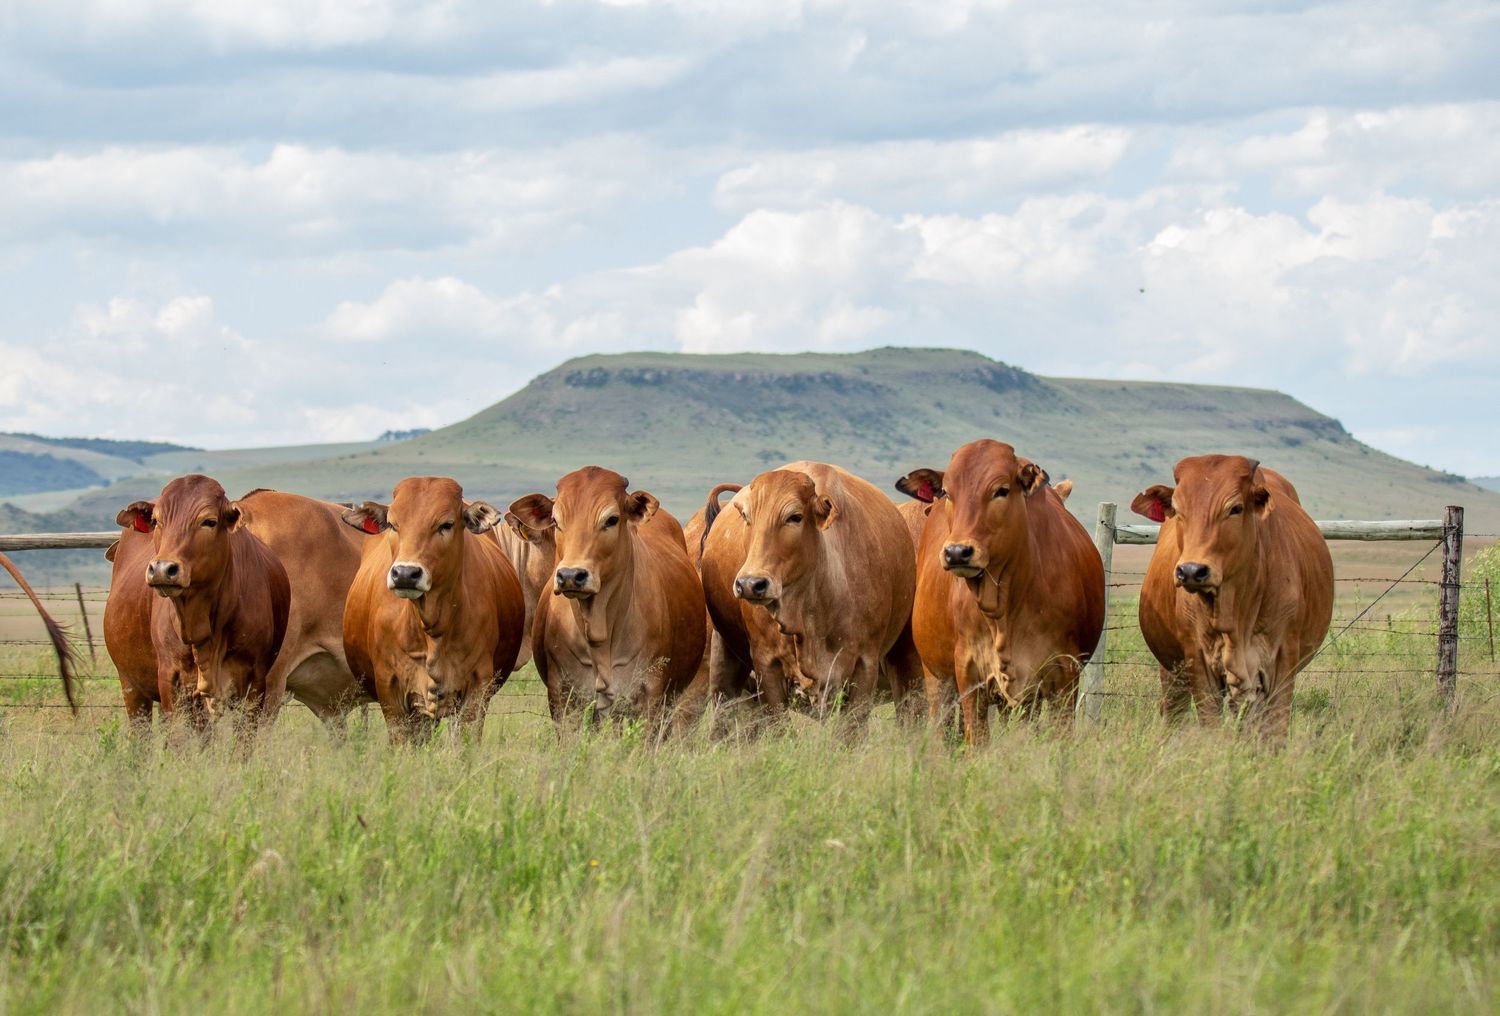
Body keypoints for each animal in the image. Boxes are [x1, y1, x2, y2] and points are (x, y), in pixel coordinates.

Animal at [107, 474, 291, 732]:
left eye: (209, 522)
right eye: (156, 520)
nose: (162, 569)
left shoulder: (254, 683)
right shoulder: (171, 681)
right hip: (131, 687)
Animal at [341, 476, 525, 742]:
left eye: (446, 524)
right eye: (393, 524)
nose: (405, 573)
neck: (432, 628)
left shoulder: (477, 689)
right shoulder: (390, 691)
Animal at [900, 441, 1103, 743]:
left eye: (1001, 490)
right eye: (947, 492)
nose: (957, 552)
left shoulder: (1063, 675)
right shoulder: (969, 675)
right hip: (937, 677)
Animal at [1132, 454, 1333, 737]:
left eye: (1235, 508)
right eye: (1178, 510)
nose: (1191, 570)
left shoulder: (1283, 661)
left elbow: (1275, 730)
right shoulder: (1198, 662)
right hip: (1173, 671)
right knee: (1174, 712)